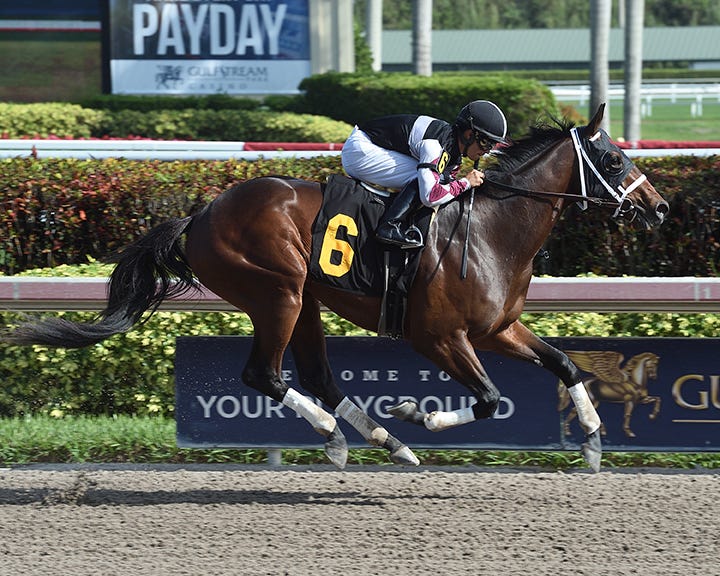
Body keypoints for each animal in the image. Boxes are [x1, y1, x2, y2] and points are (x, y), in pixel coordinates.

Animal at [2, 104, 668, 472]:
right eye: (613, 160)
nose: (659, 208)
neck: (491, 232)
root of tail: (201, 215)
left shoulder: (498, 328)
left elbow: (564, 363)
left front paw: (591, 438)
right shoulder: (439, 337)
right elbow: (486, 398)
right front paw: (417, 412)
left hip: (305, 302)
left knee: (318, 376)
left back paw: (381, 440)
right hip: (278, 292)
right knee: (265, 374)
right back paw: (336, 434)